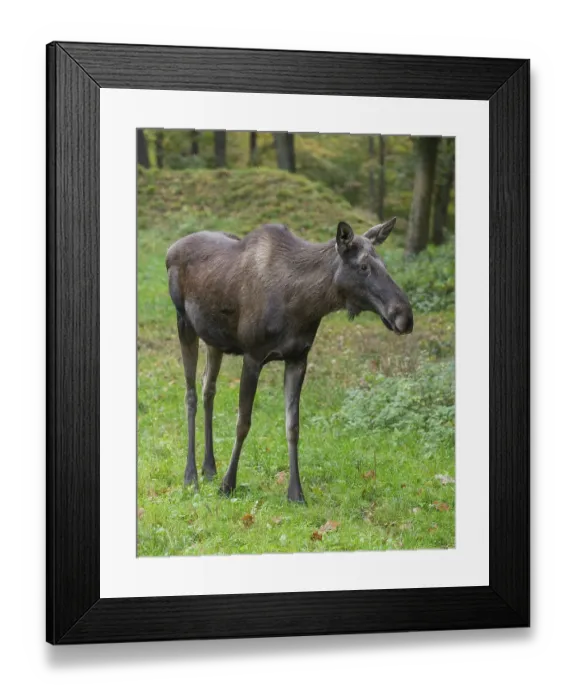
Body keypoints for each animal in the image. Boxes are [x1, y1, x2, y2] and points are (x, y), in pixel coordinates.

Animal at [166, 218, 413, 503]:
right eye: (363, 266)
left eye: (384, 264)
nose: (405, 316)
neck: (304, 305)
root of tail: (169, 251)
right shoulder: (253, 356)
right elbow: (243, 423)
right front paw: (228, 484)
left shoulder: (298, 358)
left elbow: (293, 426)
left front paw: (295, 492)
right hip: (184, 323)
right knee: (191, 394)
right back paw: (191, 476)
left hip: (214, 339)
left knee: (208, 389)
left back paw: (209, 468)